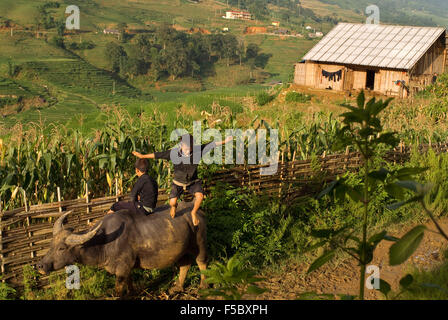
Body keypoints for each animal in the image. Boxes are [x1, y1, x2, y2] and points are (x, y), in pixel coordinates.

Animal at [36, 202, 208, 298]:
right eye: (51, 244)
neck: (104, 242)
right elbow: (129, 280)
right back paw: (177, 288)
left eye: (62, 248)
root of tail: (199, 211)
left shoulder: (122, 267)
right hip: (183, 249)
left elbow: (119, 288)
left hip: (199, 243)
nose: (40, 266)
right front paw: (132, 293)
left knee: (202, 263)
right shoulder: (127, 267)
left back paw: (203, 287)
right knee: (185, 264)